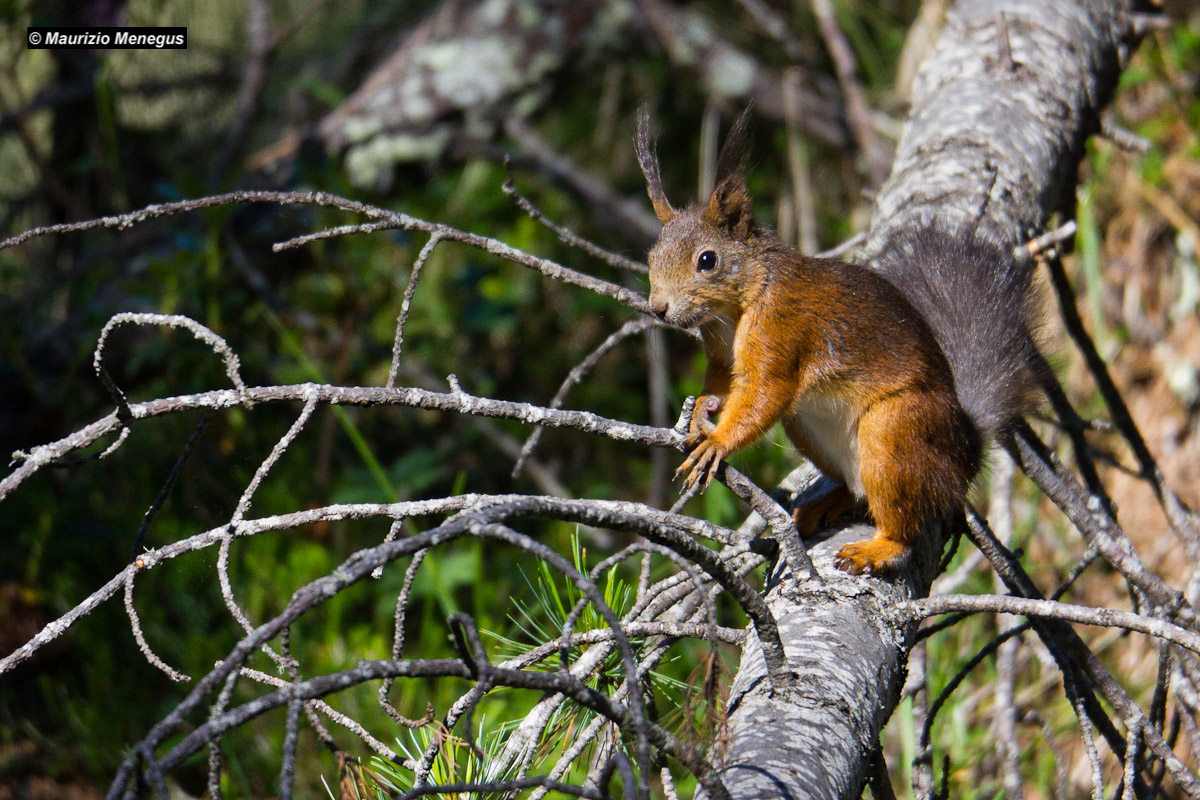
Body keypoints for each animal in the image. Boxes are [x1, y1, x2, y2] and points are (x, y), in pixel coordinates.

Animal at [635, 108, 1040, 575]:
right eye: (651, 256)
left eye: (707, 260)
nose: (658, 308)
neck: (735, 310)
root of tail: (965, 454)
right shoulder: (719, 352)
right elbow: (721, 380)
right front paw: (703, 409)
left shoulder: (781, 326)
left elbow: (767, 390)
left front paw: (717, 442)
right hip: (807, 428)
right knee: (854, 487)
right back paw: (824, 504)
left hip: (895, 429)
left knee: (904, 525)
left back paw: (878, 548)